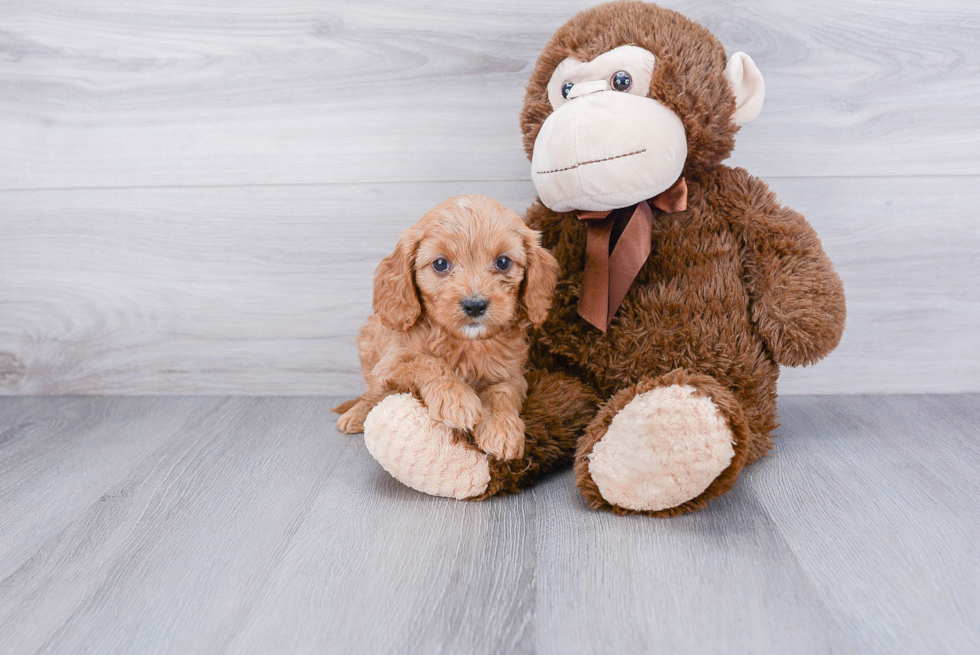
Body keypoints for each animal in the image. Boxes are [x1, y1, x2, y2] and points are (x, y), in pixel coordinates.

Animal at [332, 195, 556, 462]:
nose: (475, 305)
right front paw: (457, 400)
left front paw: (501, 429)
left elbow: (502, 393)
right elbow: (426, 361)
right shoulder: (391, 362)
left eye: (503, 262)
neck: (464, 342)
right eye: (440, 264)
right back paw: (355, 415)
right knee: (372, 394)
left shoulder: (511, 373)